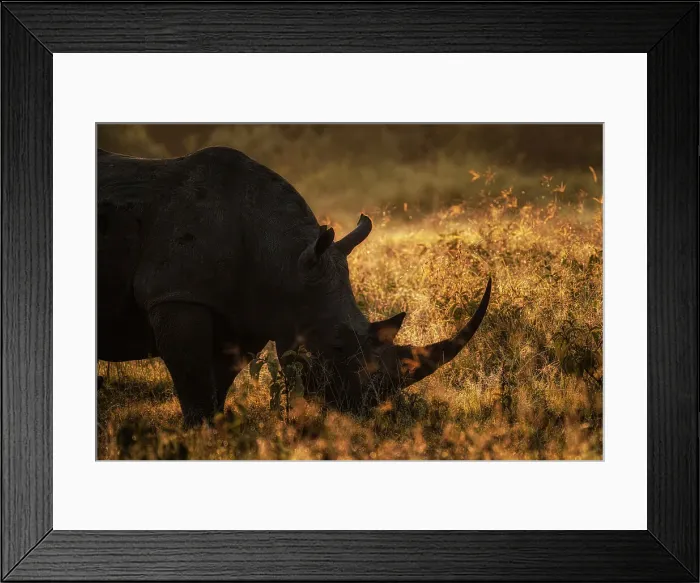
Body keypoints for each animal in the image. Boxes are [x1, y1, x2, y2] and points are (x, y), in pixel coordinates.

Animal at [98, 146, 491, 425]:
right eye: (336, 346)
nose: (364, 410)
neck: (282, 258)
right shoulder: (175, 295)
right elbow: (194, 385)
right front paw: (199, 437)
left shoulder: (247, 312)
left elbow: (218, 384)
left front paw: (217, 434)